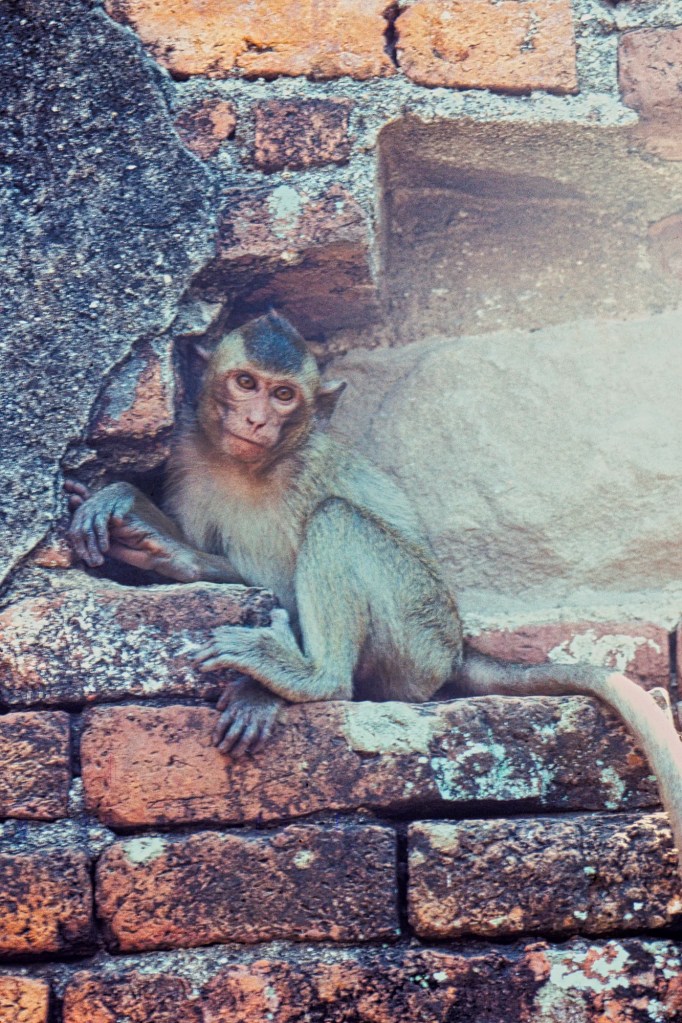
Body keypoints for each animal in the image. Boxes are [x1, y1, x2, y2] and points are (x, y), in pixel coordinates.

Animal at [65, 310, 682, 879]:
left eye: (284, 394)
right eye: (245, 382)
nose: (257, 418)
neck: (251, 465)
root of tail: (457, 647)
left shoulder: (307, 472)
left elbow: (284, 581)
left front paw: (256, 690)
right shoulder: (188, 455)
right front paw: (135, 519)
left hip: (418, 630)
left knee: (338, 520)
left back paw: (310, 678)